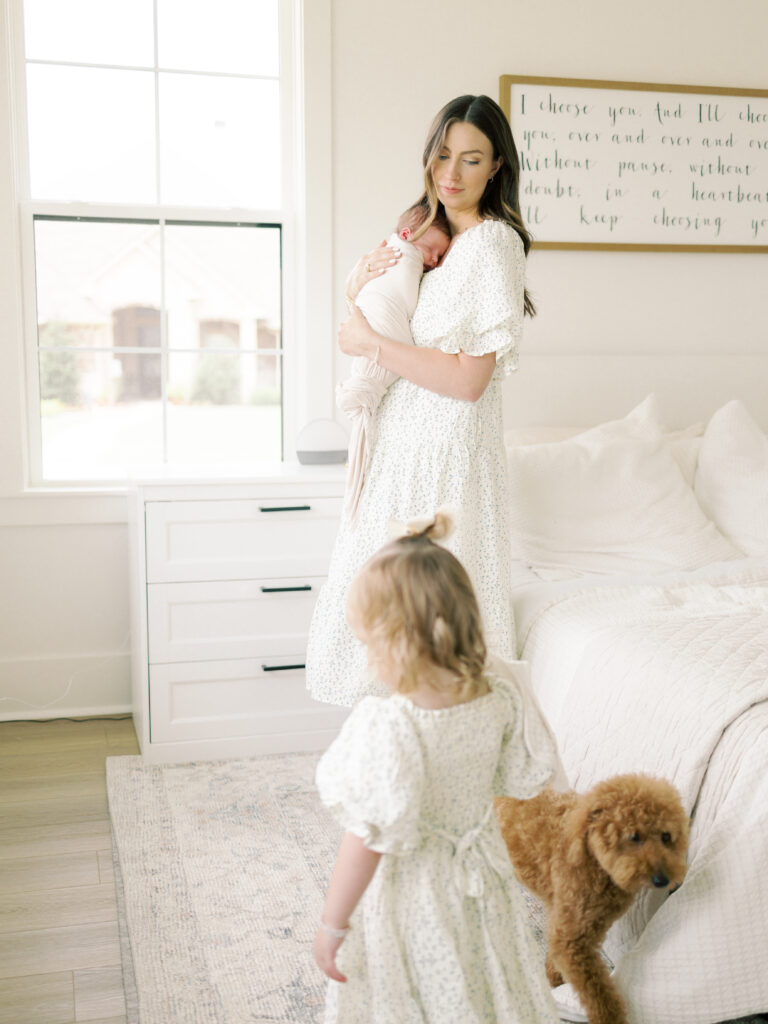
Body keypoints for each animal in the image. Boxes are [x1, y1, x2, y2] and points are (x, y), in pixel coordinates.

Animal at [499, 774, 692, 1024]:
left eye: (666, 836)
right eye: (634, 837)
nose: (663, 879)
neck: (594, 861)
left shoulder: (566, 920)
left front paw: (554, 975)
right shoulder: (574, 943)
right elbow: (599, 997)